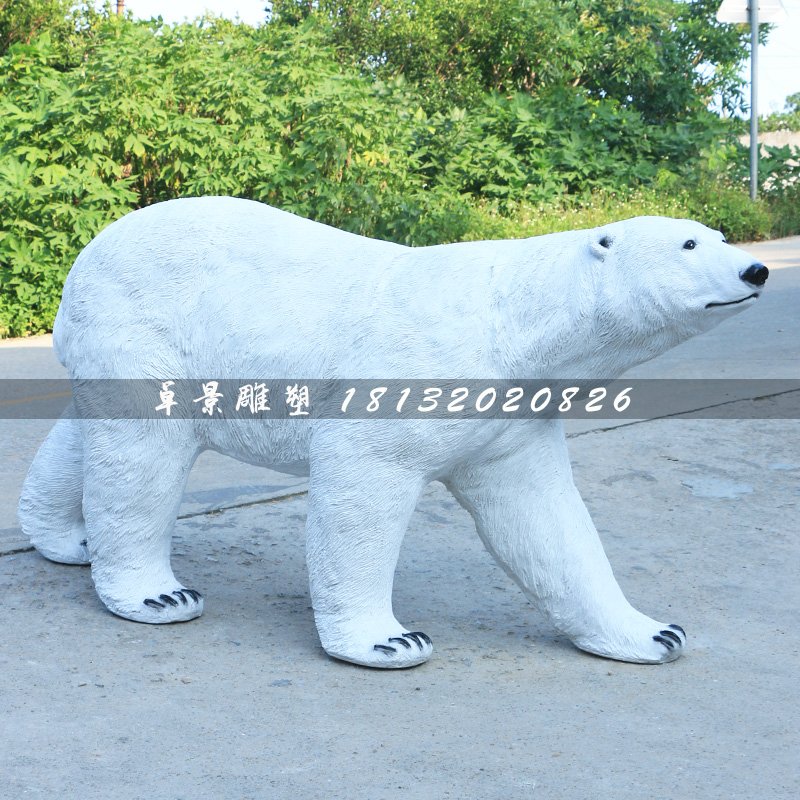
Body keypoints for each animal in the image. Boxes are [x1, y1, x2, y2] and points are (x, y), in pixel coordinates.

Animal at [18, 197, 769, 669]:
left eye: (717, 236)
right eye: (689, 244)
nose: (758, 268)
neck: (512, 320)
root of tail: (91, 252)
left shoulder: (512, 420)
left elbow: (545, 522)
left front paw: (650, 631)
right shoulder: (413, 374)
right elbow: (362, 489)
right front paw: (388, 642)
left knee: (90, 436)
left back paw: (69, 540)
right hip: (147, 328)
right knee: (141, 457)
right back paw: (157, 595)